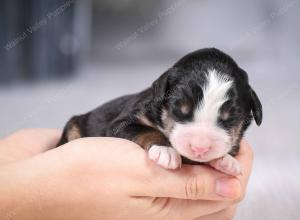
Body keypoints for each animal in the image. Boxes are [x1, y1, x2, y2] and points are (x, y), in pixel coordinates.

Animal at [56, 48, 262, 177]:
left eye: (230, 118)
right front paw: (165, 150)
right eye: (179, 109)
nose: (199, 148)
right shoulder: (123, 121)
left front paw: (227, 161)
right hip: (74, 125)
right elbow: (147, 130)